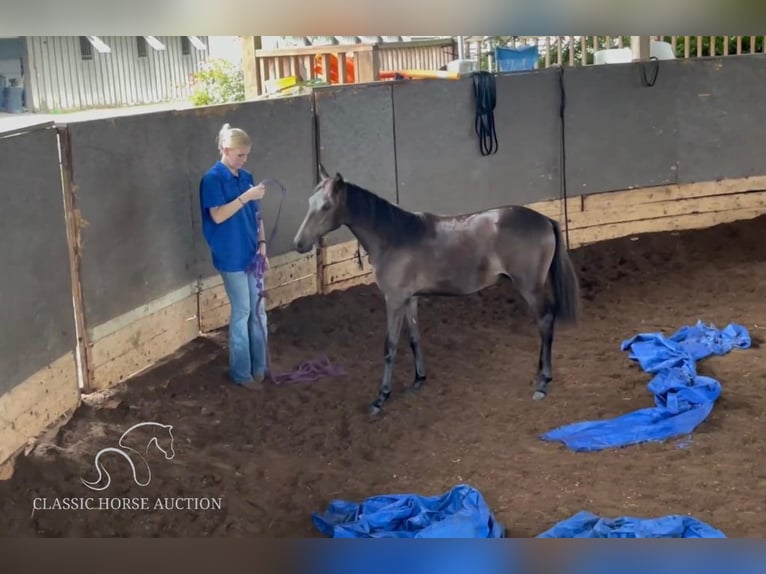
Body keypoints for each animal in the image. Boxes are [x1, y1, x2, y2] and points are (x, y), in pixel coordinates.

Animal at [294, 164, 584, 416]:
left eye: (326, 205)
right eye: (309, 202)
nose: (299, 243)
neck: (393, 237)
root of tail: (544, 220)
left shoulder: (394, 300)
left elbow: (390, 347)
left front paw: (381, 398)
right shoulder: (410, 299)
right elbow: (414, 338)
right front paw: (418, 380)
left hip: (530, 287)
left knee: (545, 321)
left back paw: (543, 382)